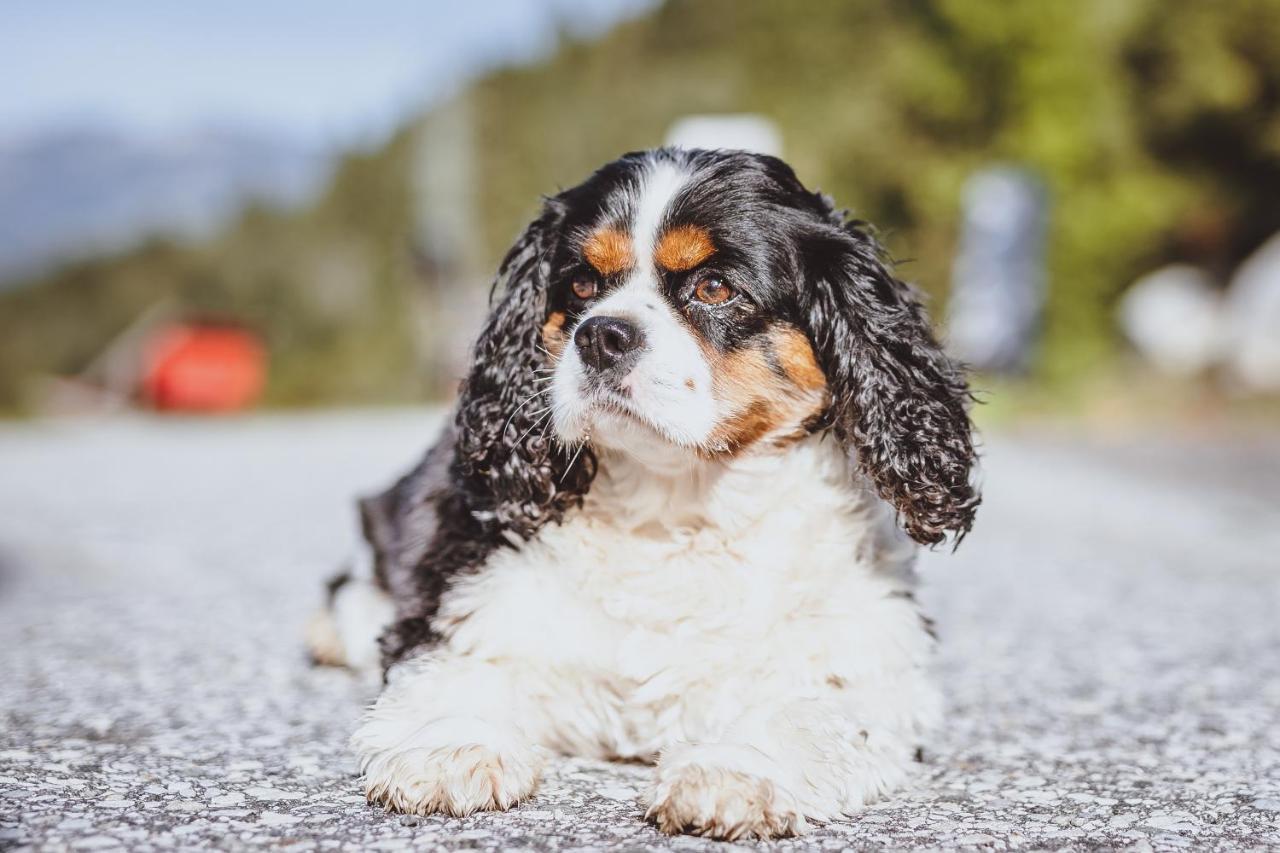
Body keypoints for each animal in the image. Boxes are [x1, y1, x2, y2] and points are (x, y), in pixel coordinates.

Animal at [307, 146, 977, 835]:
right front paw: (450, 746)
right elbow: (454, 672)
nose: (601, 334)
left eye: (715, 288)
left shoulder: (873, 667)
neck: (674, 507)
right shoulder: (469, 605)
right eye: (581, 286)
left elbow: (808, 712)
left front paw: (735, 770)